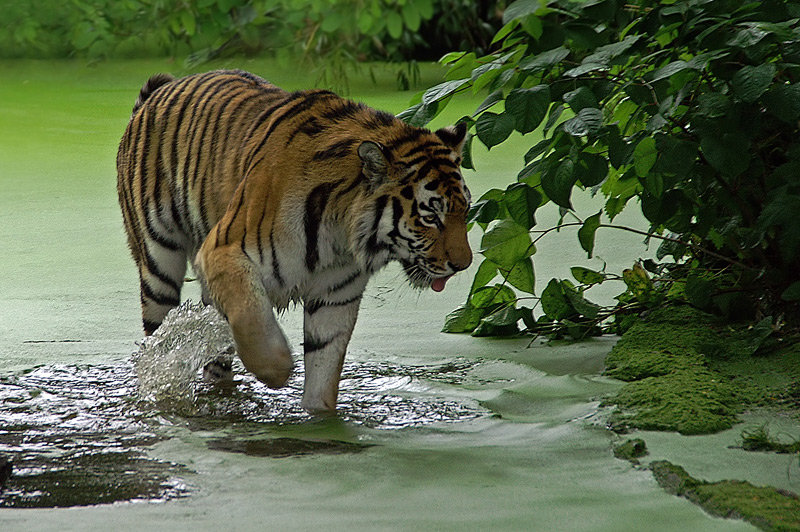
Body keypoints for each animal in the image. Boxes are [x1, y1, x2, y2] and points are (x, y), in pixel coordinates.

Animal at [115, 69, 472, 412]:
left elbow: (324, 369)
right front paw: (279, 371)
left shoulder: (335, 296)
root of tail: (159, 91)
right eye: (431, 217)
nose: (463, 264)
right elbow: (251, 317)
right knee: (157, 345)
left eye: (465, 210)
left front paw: (321, 418)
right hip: (158, 265)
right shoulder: (224, 251)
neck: (341, 233)